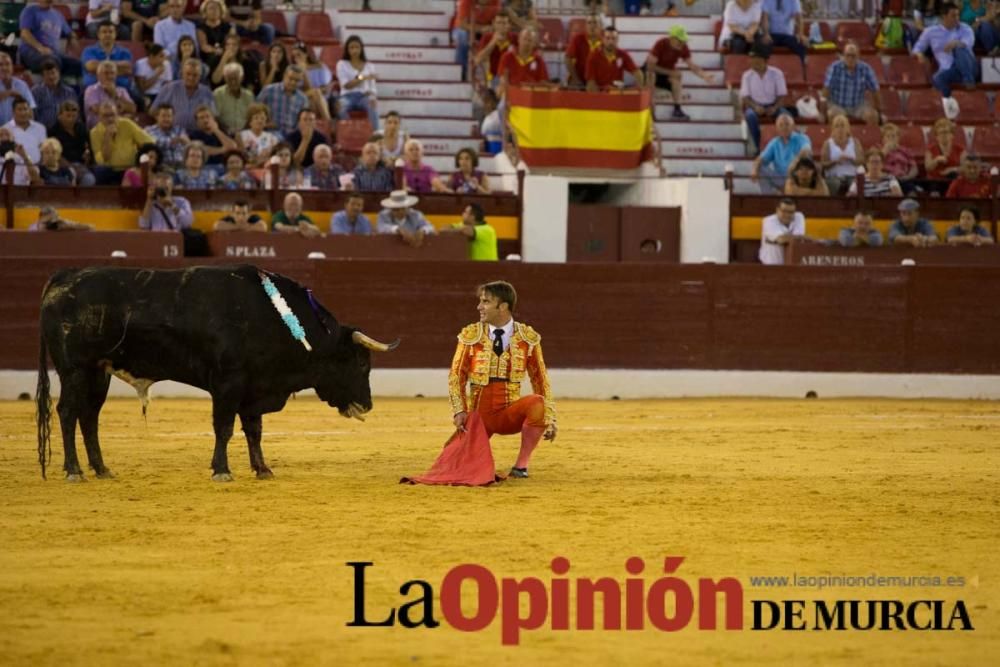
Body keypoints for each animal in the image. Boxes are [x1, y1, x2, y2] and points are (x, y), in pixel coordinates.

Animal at [39, 264, 398, 480]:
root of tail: (64, 276)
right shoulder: (228, 383)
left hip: (98, 372)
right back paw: (73, 471)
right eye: (360, 363)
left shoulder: (254, 388)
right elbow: (224, 427)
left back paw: (101, 469)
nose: (368, 405)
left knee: (89, 416)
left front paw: (262, 469)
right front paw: (222, 470)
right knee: (68, 412)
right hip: (75, 368)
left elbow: (254, 430)